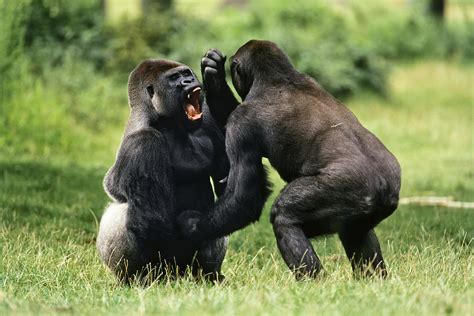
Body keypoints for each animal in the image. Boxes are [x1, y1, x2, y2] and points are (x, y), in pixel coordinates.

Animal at [95, 59, 229, 284]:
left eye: (186, 73)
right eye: (174, 78)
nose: (188, 81)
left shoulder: (208, 120)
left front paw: (216, 77)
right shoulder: (143, 143)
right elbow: (151, 220)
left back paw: (210, 276)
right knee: (120, 212)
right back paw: (140, 279)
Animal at [180, 40, 402, 280]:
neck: (280, 77)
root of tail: (383, 185)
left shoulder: (242, 122)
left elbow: (244, 197)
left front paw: (193, 228)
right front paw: (213, 73)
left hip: (350, 190)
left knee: (284, 216)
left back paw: (314, 281)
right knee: (357, 232)